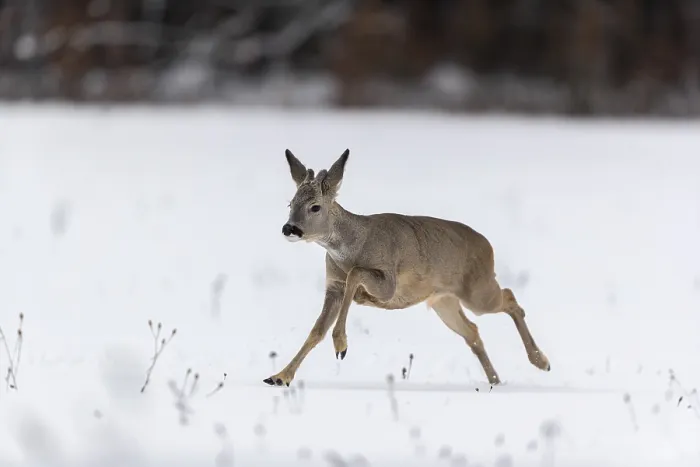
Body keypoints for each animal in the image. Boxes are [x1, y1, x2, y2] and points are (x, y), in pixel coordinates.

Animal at [263, 149, 551, 388]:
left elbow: (356, 275)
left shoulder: (387, 283)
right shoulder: (333, 285)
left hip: (478, 292)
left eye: (315, 207)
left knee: (510, 298)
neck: (352, 245)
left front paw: (341, 344)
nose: (289, 228)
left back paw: (541, 361)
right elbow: (316, 331)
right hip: (444, 301)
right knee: (473, 331)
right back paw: (496, 381)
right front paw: (279, 377)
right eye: (291, 204)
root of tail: (487, 245)